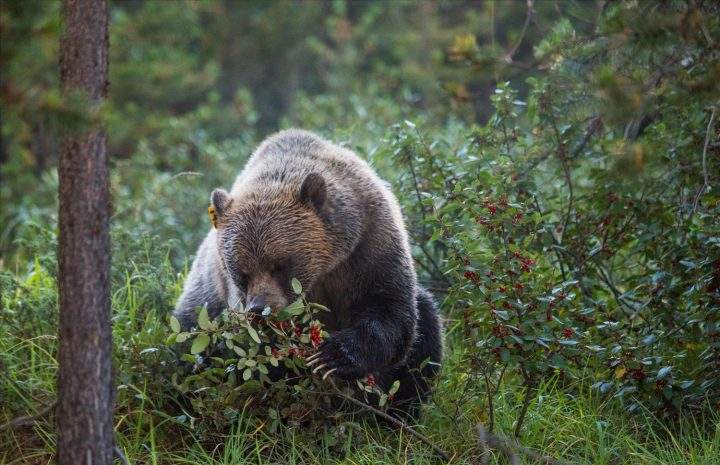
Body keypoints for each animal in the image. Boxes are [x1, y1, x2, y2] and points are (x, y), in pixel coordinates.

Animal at [173, 129, 443, 413]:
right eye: (242, 272)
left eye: (280, 265)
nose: (260, 309)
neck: (326, 267)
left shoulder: (369, 245)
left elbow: (390, 310)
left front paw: (332, 355)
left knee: (426, 326)